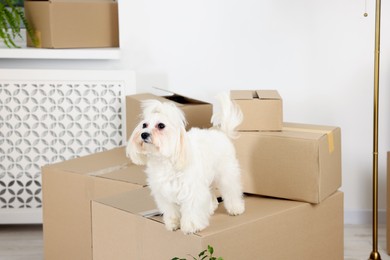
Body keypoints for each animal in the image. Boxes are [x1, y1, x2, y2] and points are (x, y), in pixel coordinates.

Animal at [126, 93, 245, 234]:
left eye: (161, 126)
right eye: (144, 125)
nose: (143, 134)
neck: (165, 161)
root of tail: (221, 133)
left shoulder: (191, 190)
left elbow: (191, 209)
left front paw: (190, 226)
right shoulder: (164, 193)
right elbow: (171, 210)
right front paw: (173, 224)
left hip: (227, 174)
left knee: (231, 190)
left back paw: (235, 208)